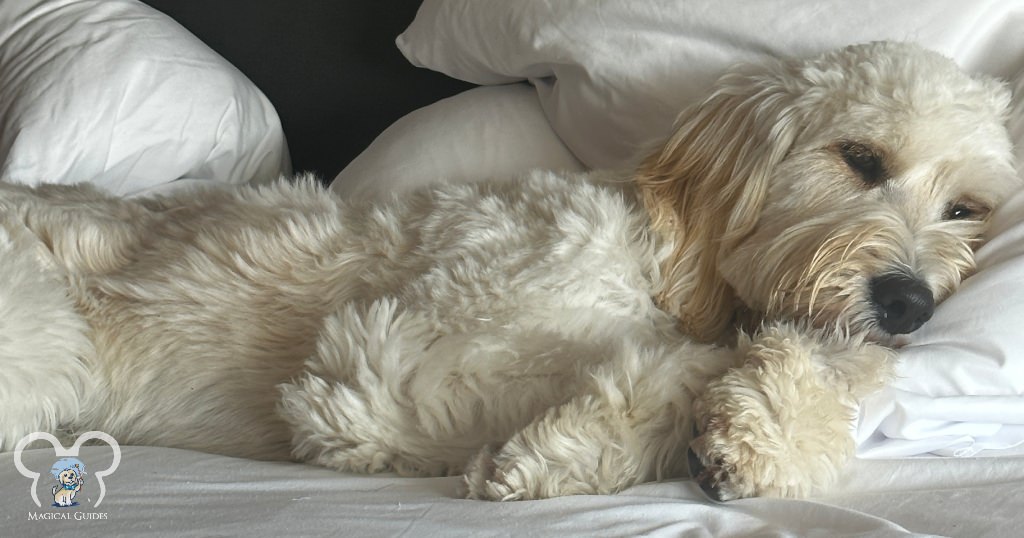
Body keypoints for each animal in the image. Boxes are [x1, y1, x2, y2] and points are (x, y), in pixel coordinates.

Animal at [0, 40, 1015, 500]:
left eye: (966, 209)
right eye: (860, 157)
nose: (909, 304)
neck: (661, 254)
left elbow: (835, 363)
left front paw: (764, 430)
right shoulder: (377, 376)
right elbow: (666, 358)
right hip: (42, 341)